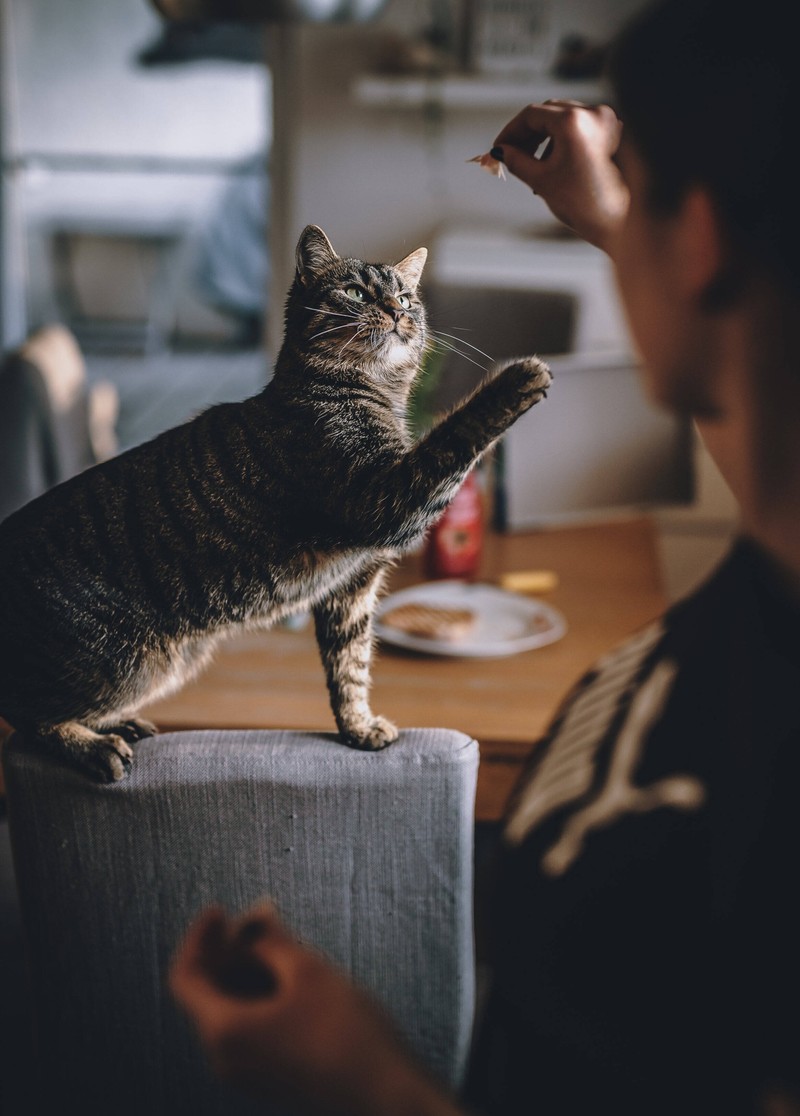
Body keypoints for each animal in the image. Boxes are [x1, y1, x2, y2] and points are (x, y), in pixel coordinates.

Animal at [0, 224, 548, 785]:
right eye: (355, 292)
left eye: (405, 297)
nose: (397, 311)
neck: (372, 394)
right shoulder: (386, 499)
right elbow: (454, 435)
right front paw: (519, 377)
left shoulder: (352, 586)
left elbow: (349, 668)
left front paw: (358, 728)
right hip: (127, 662)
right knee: (28, 717)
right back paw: (96, 746)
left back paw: (121, 725)